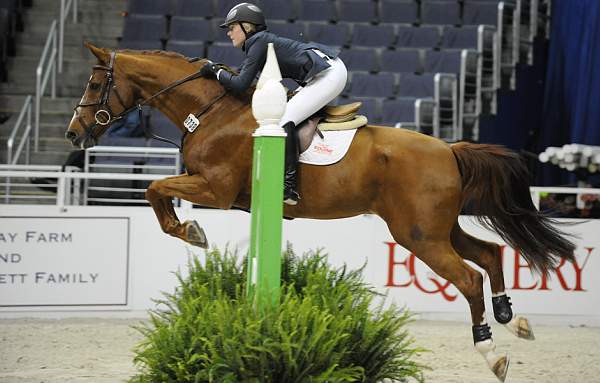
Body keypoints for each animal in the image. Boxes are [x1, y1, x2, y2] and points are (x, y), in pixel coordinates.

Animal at [67, 44, 576, 380]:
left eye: (94, 83)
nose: (73, 134)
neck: (210, 111)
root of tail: (449, 149)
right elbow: (157, 190)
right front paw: (189, 229)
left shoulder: (216, 189)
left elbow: (155, 188)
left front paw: (189, 230)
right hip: (435, 228)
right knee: (489, 253)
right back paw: (514, 320)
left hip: (419, 235)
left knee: (469, 277)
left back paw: (492, 353)